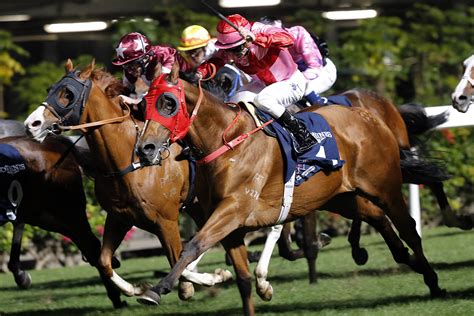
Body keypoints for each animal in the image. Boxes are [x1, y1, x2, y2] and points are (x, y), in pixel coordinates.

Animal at [24, 59, 235, 304]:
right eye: (50, 89)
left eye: (67, 93)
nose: (31, 124)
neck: (129, 162)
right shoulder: (119, 218)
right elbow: (104, 262)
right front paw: (136, 289)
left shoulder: (166, 220)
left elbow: (177, 259)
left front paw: (210, 278)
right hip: (196, 205)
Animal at [135, 65, 446, 314]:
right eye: (141, 107)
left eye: (168, 102)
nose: (145, 148)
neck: (227, 142)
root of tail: (368, 115)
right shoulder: (231, 226)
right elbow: (242, 280)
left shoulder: (233, 210)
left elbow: (192, 245)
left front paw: (157, 289)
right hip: (340, 197)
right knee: (378, 218)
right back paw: (399, 257)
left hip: (385, 187)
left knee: (409, 228)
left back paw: (433, 282)